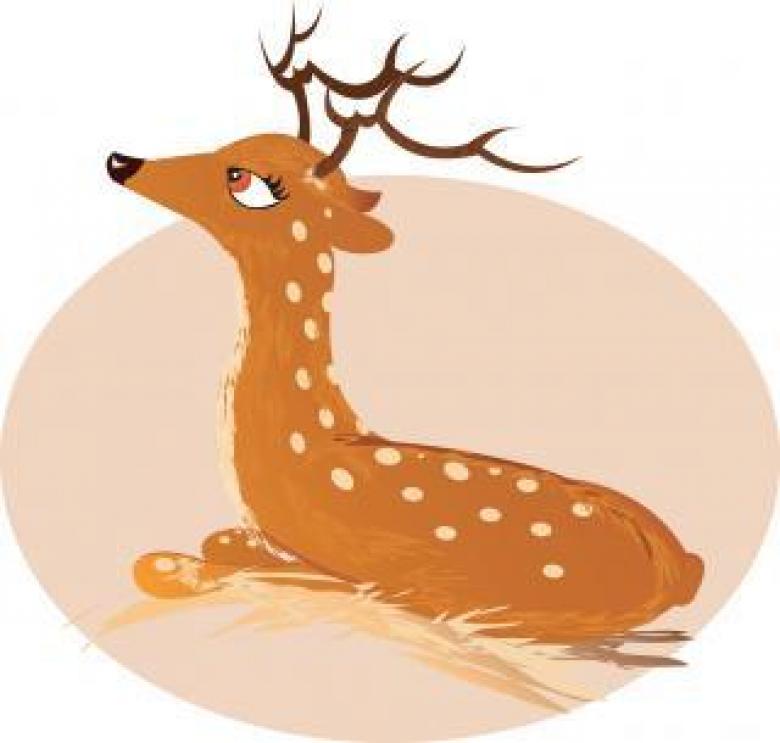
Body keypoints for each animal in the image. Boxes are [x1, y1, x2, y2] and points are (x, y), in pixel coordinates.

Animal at [107, 10, 703, 641]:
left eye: (243, 179)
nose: (123, 160)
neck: (313, 444)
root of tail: (680, 568)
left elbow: (213, 557)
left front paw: (172, 566)